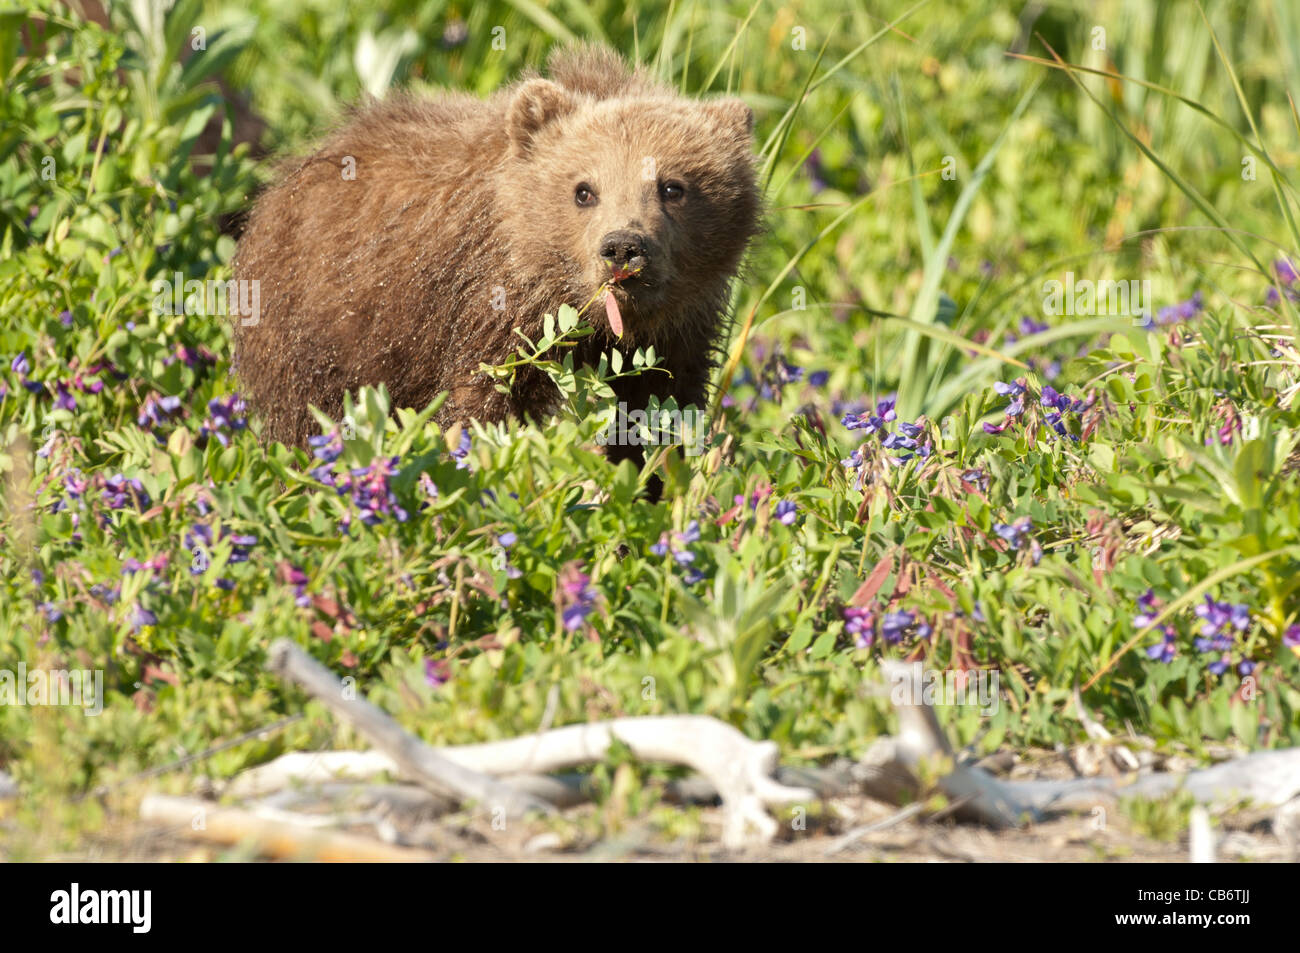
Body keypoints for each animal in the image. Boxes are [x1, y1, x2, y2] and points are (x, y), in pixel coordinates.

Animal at [230, 45, 761, 479]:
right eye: (583, 190)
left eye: (672, 186)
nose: (623, 247)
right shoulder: (489, 310)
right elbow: (480, 404)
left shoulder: (677, 334)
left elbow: (655, 414)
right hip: (319, 331)